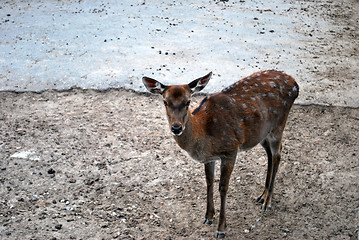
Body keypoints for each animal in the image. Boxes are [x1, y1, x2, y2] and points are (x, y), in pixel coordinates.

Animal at [142, 70, 300, 238]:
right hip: (262, 133)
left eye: (188, 102)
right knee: (270, 153)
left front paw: (221, 228)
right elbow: (209, 182)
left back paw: (267, 202)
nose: (176, 128)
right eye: (165, 102)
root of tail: (295, 83)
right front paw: (208, 217)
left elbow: (223, 188)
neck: (203, 135)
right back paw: (262, 196)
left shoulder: (230, 149)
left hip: (279, 125)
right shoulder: (209, 158)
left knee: (278, 154)